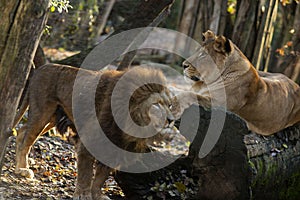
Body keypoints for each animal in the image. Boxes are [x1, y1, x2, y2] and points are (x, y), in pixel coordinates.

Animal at [13, 63, 176, 198]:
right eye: (156, 104)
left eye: (169, 105)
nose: (171, 119)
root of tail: (41, 68)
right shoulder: (91, 141)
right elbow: (86, 173)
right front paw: (83, 194)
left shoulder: (115, 148)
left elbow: (100, 177)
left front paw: (97, 195)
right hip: (42, 112)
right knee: (27, 140)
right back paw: (23, 169)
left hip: (51, 118)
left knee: (22, 131)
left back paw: (19, 166)